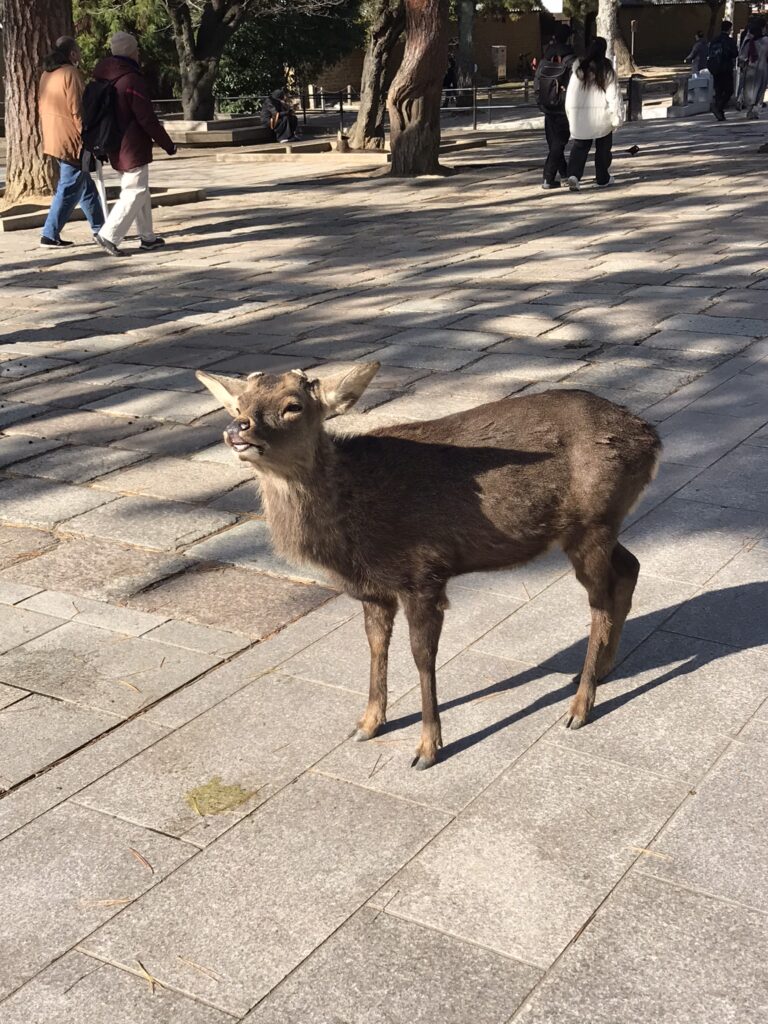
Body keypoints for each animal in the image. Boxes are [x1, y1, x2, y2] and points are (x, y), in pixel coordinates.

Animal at [196, 362, 661, 770]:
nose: (237, 430)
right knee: (629, 568)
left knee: (600, 602)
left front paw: (427, 749)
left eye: (293, 405)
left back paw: (579, 707)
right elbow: (375, 646)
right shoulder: (373, 590)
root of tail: (651, 437)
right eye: (237, 405)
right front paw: (367, 724)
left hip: (593, 523)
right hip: (596, 527)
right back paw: (601, 670)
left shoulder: (423, 574)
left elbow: (422, 658)